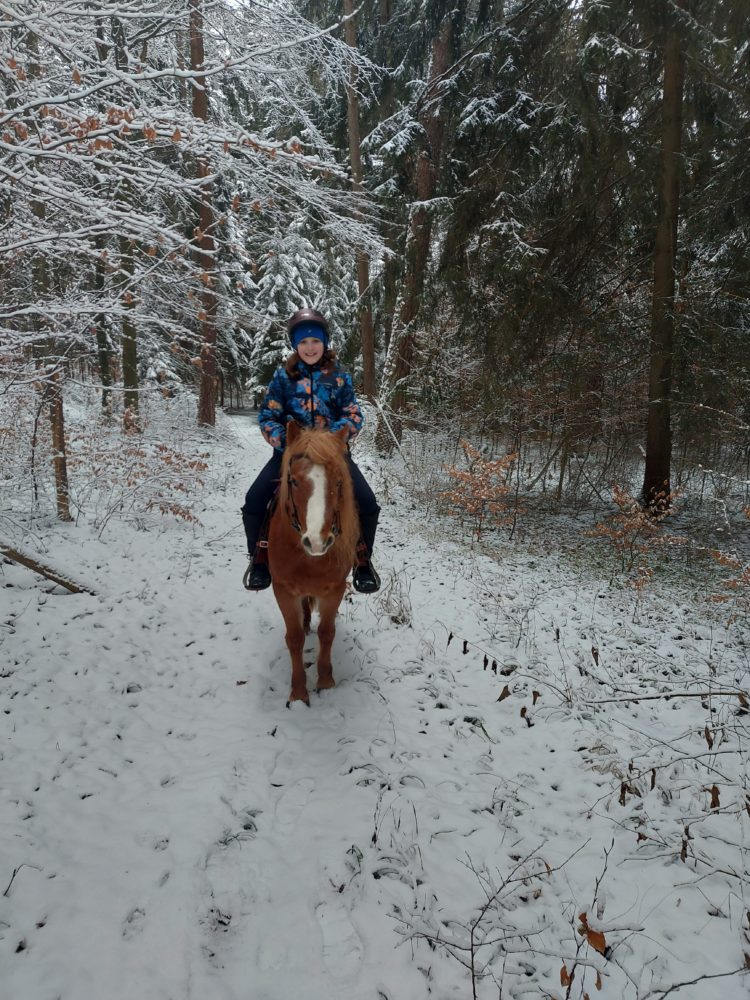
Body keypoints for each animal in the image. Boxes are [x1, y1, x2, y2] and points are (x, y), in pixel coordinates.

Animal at [268, 422, 360, 704]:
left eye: (339, 481)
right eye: (294, 481)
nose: (318, 542)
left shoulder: (335, 589)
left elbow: (327, 632)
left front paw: (326, 681)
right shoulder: (283, 590)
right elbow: (294, 638)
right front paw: (298, 691)